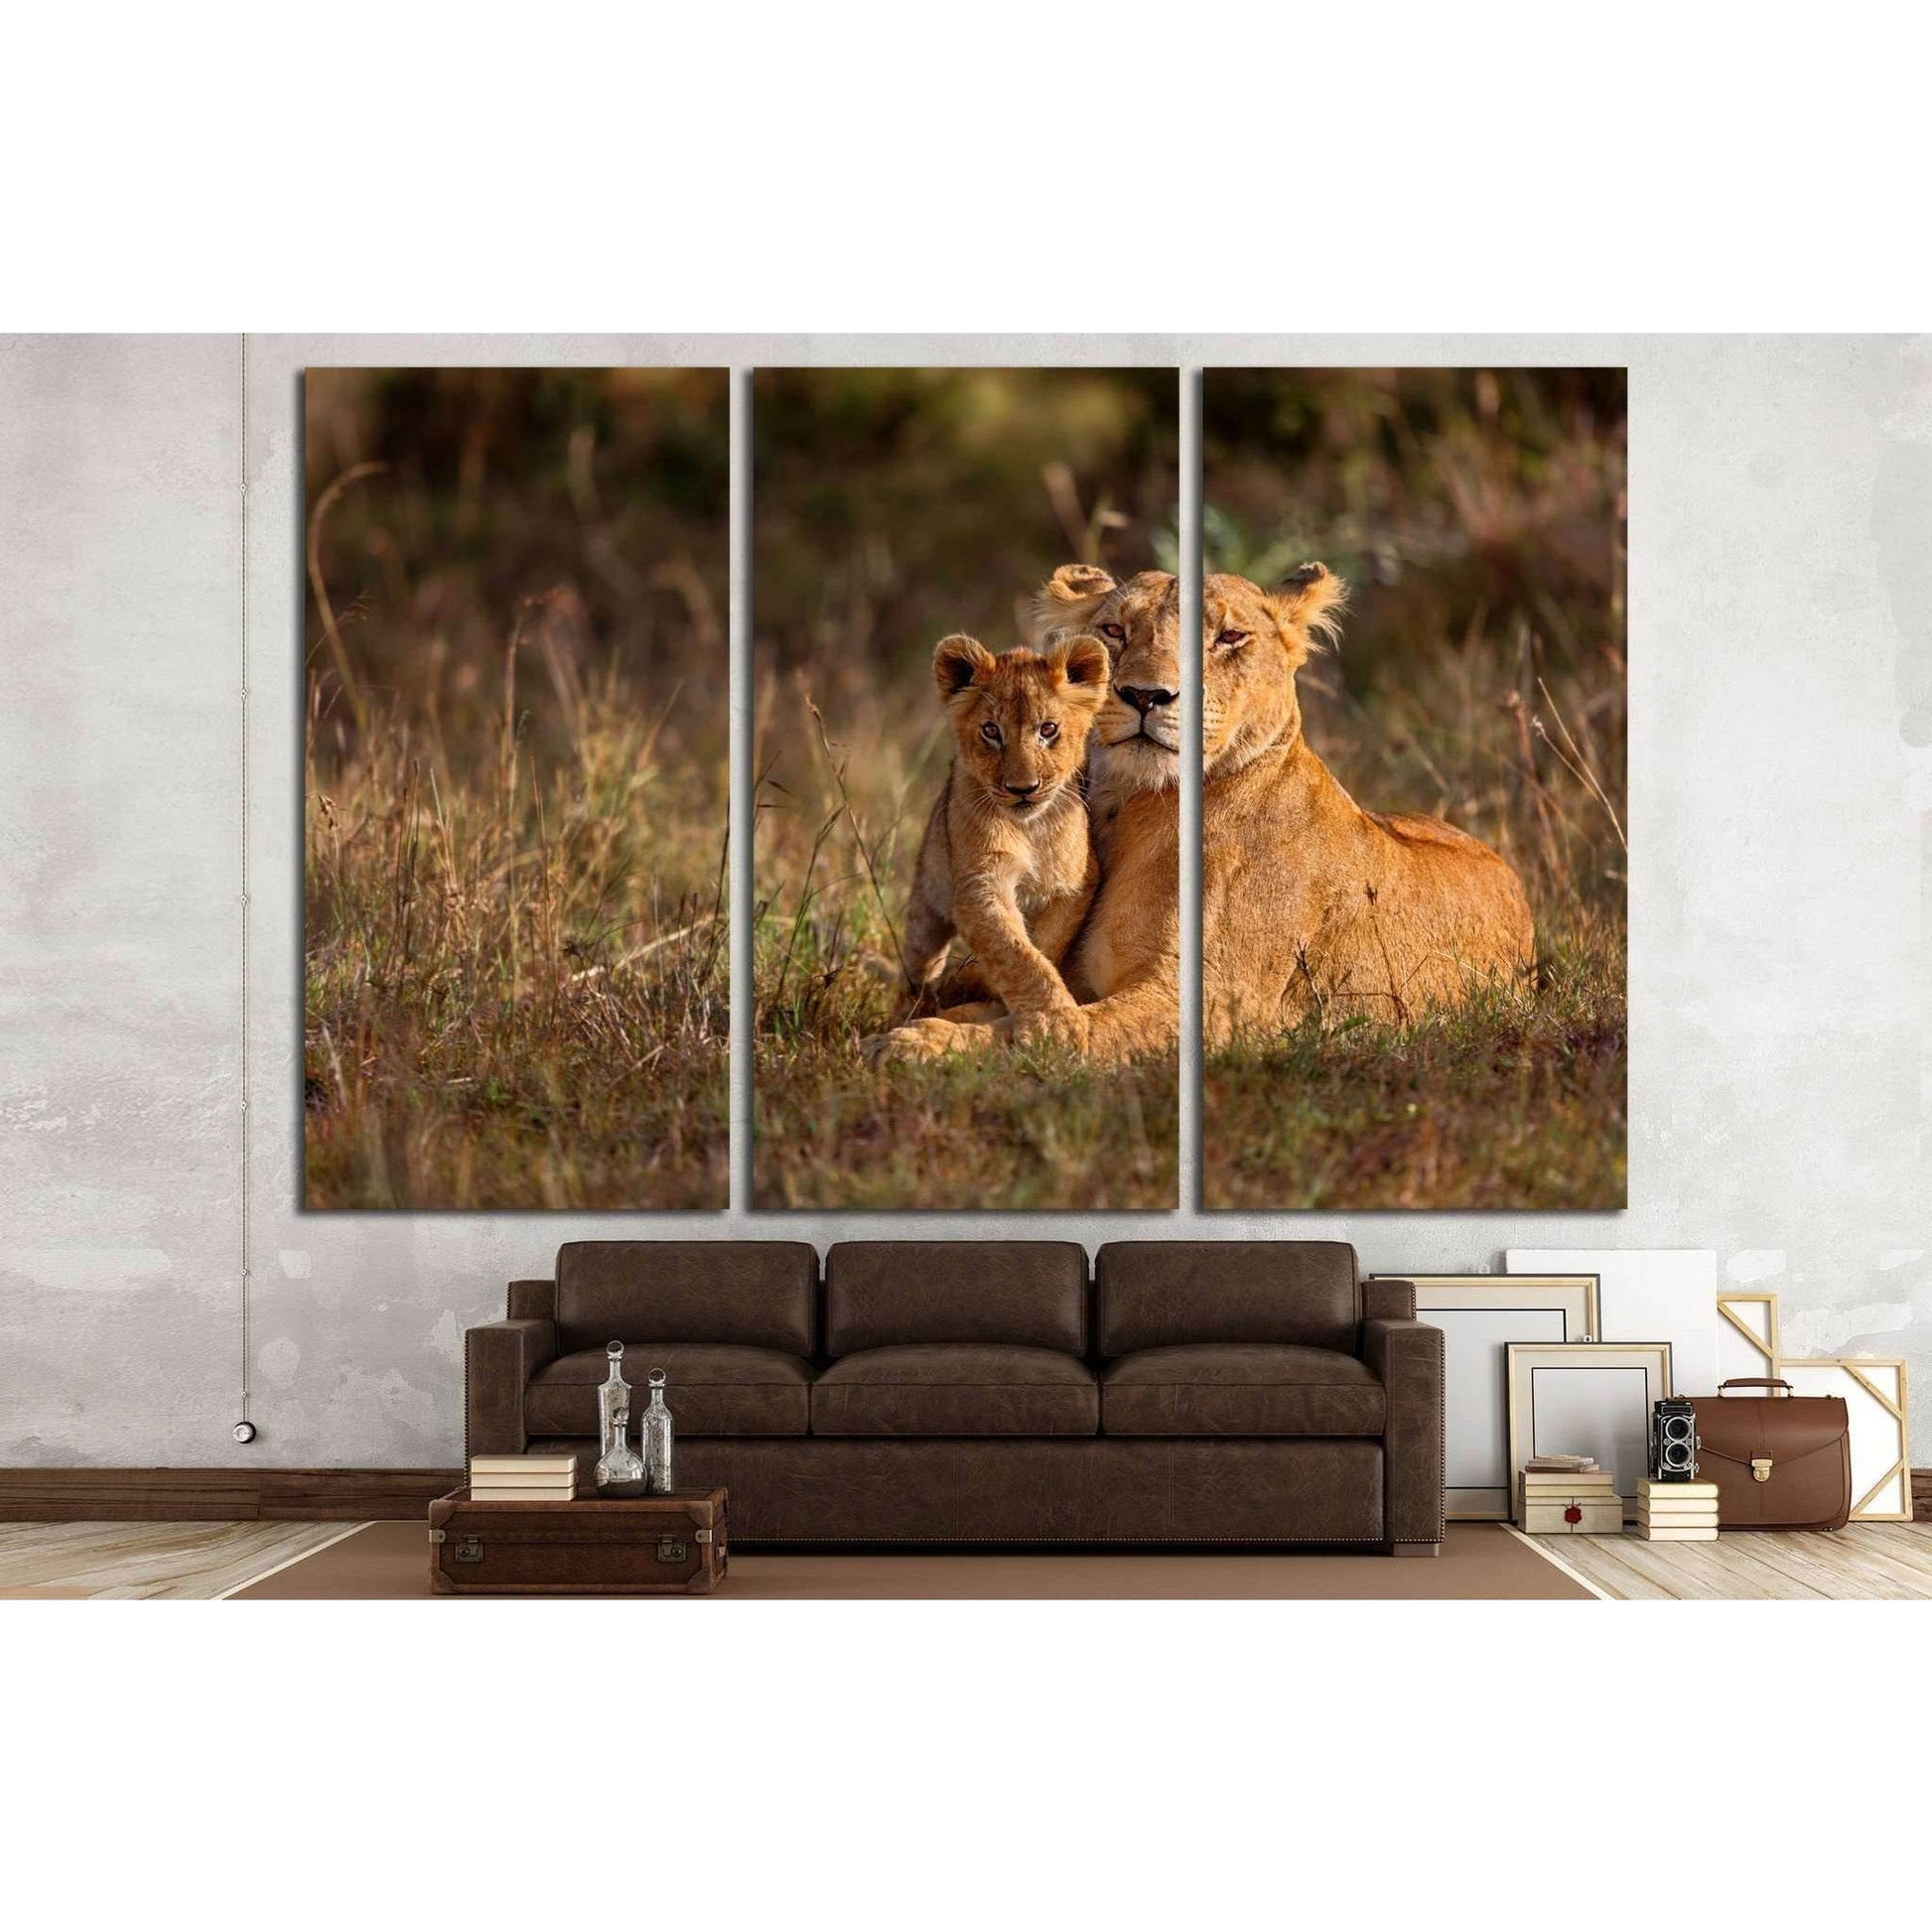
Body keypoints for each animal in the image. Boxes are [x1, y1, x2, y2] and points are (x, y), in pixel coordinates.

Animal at [898, 631, 1110, 1020]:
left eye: (1048, 729)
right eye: (991, 731)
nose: (1022, 789)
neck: (1030, 829)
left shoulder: (1076, 884)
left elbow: (1042, 945)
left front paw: (977, 981)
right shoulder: (980, 884)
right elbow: (1016, 953)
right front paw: (1056, 1020)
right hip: (926, 901)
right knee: (917, 966)